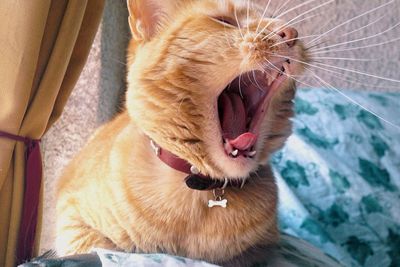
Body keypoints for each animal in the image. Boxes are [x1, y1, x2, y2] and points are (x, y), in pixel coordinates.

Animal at [55, 0, 306, 266]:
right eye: (224, 21)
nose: (290, 33)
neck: (202, 186)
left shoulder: (268, 248)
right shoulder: (72, 216)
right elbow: (101, 247)